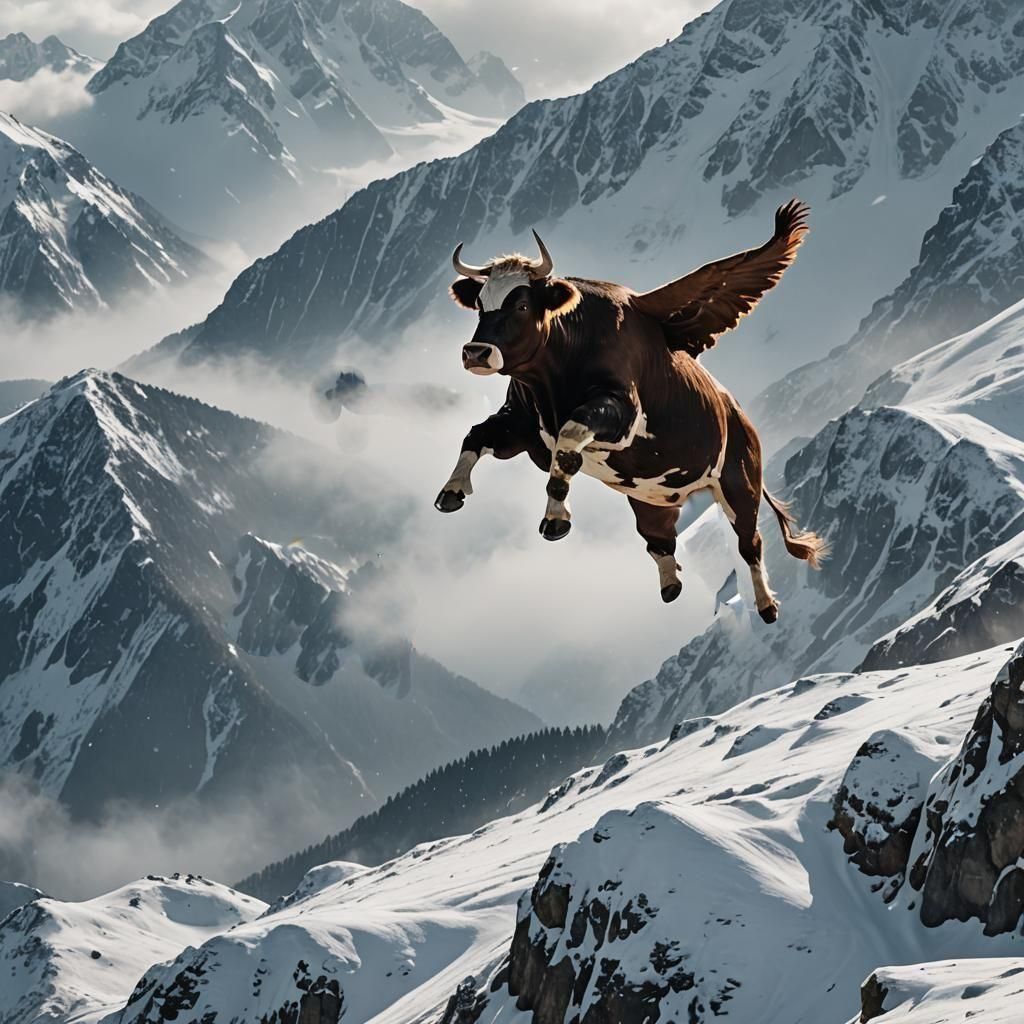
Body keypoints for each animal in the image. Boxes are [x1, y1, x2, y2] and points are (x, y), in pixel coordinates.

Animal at [434, 200, 827, 622]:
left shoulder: (618, 412)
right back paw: (671, 584)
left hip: (740, 483)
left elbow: (568, 443)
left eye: (522, 304)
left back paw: (767, 605)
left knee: (749, 543)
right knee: (660, 541)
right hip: (650, 500)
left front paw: (556, 518)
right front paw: (451, 491)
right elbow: (476, 434)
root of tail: (741, 418)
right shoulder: (522, 422)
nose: (476, 353)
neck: (553, 382)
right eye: (480, 305)